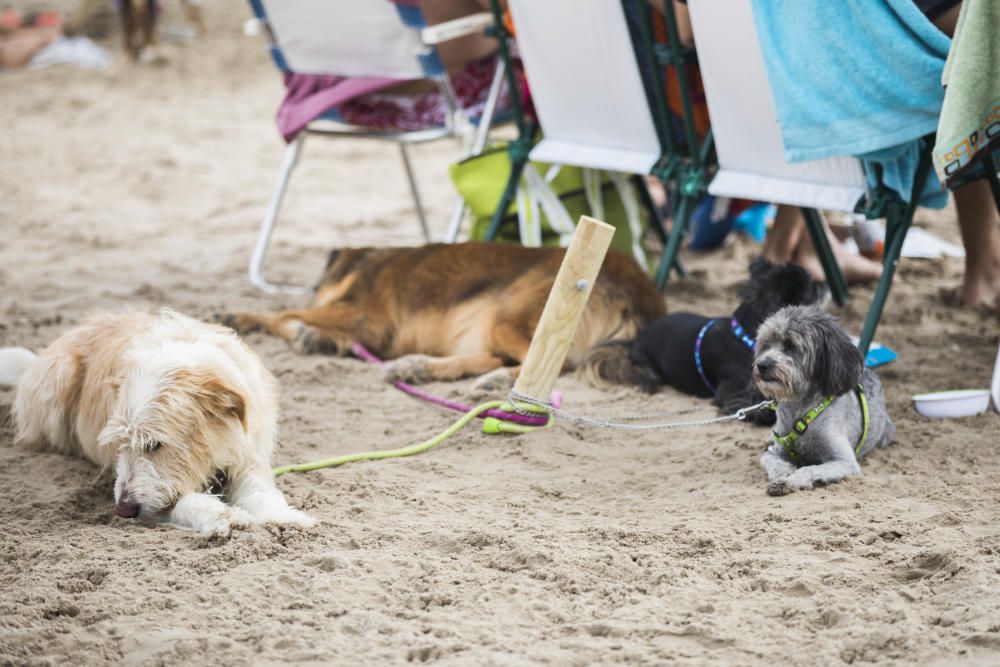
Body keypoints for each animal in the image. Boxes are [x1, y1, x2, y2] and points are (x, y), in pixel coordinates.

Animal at [0, 310, 312, 536]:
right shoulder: (157, 500)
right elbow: (186, 502)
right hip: (59, 377)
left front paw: (281, 516)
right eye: (119, 444)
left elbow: (261, 491)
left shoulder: (249, 458)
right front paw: (222, 514)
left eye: (155, 444)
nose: (123, 511)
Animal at [223, 243, 668, 392]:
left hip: (513, 312)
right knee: (494, 357)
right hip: (487, 323)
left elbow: (285, 311)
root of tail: (641, 292)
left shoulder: (367, 316)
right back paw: (419, 368)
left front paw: (243, 317)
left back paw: (492, 382)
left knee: (546, 367)